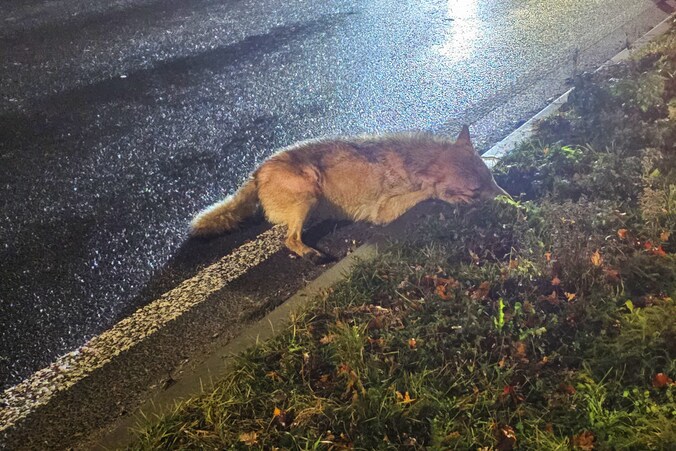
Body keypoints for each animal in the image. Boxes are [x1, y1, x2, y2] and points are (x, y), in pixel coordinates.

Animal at [190, 126, 508, 262]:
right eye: (476, 190)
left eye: (491, 179)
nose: (513, 201)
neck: (416, 160)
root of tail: (256, 172)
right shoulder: (383, 211)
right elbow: (429, 192)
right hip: (309, 194)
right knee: (289, 240)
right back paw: (310, 254)